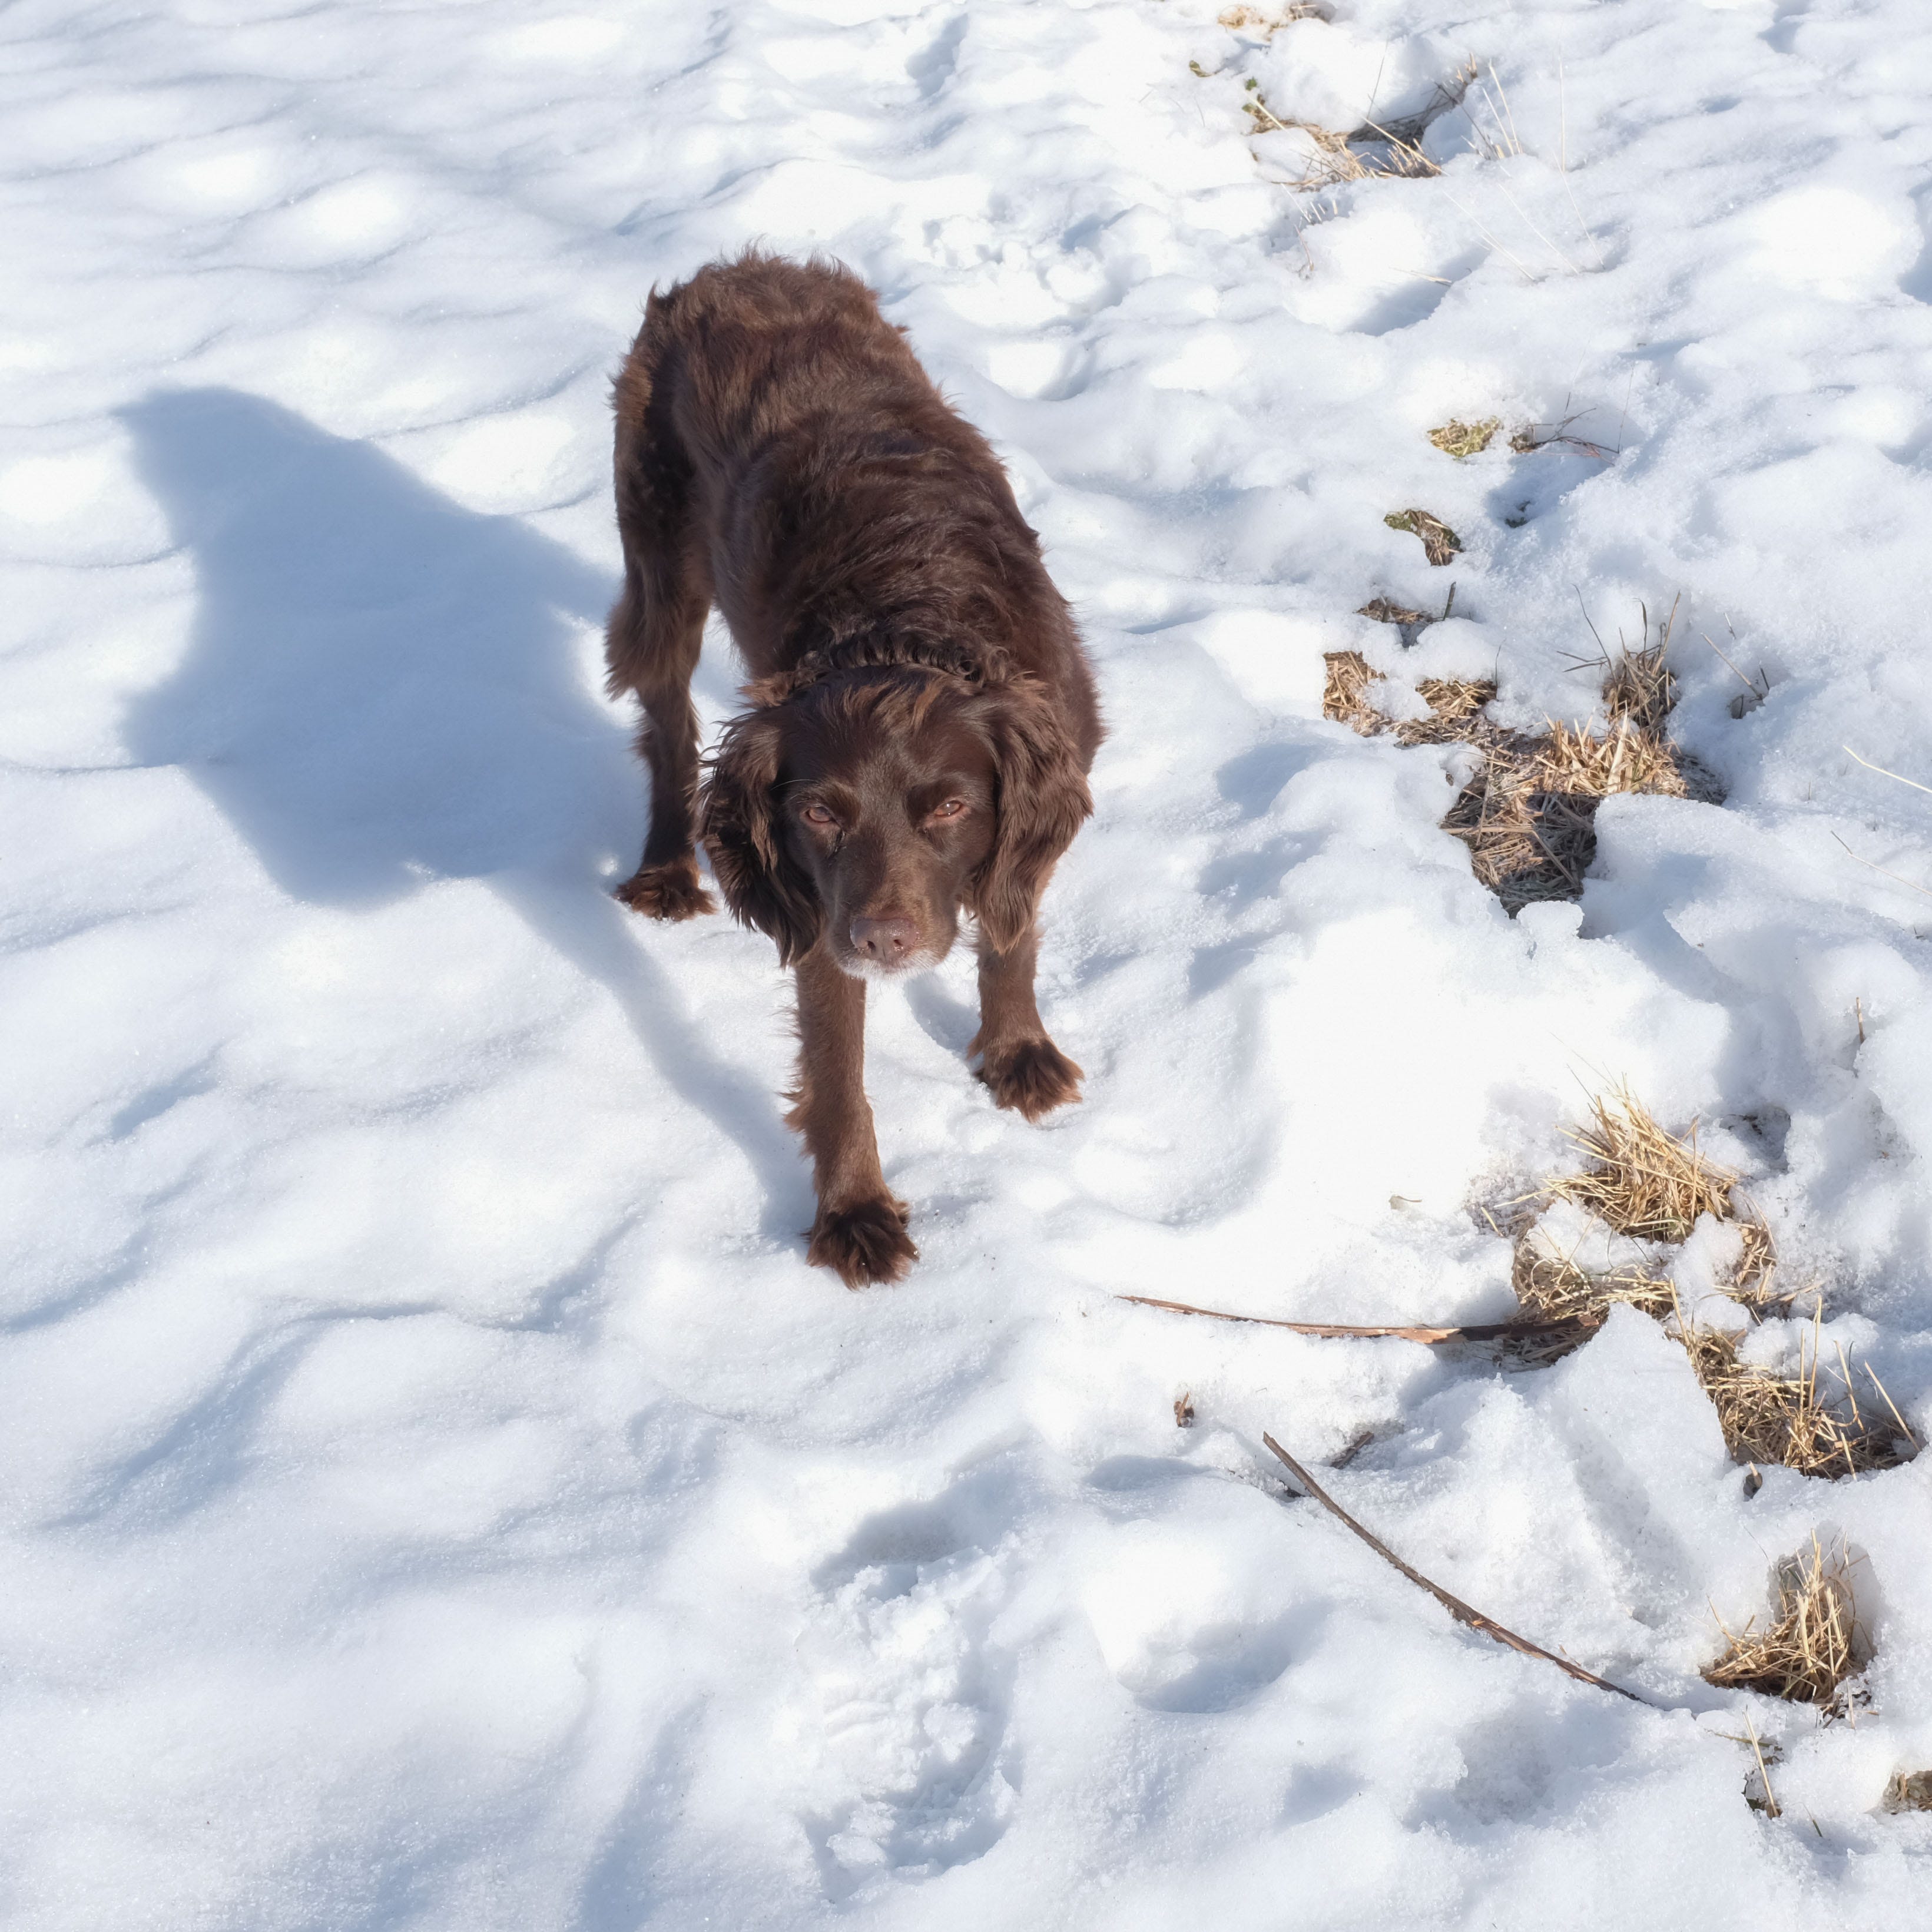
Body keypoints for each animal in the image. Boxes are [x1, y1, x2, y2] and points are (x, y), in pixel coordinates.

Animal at [603, 253, 1101, 1286]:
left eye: (951, 807)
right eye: (820, 815)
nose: (886, 942)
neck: (907, 617)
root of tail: (732, 267)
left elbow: (1011, 931)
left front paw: (1015, 1052)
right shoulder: (815, 911)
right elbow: (838, 1071)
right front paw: (855, 1213)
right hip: (661, 566)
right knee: (668, 727)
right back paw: (666, 867)